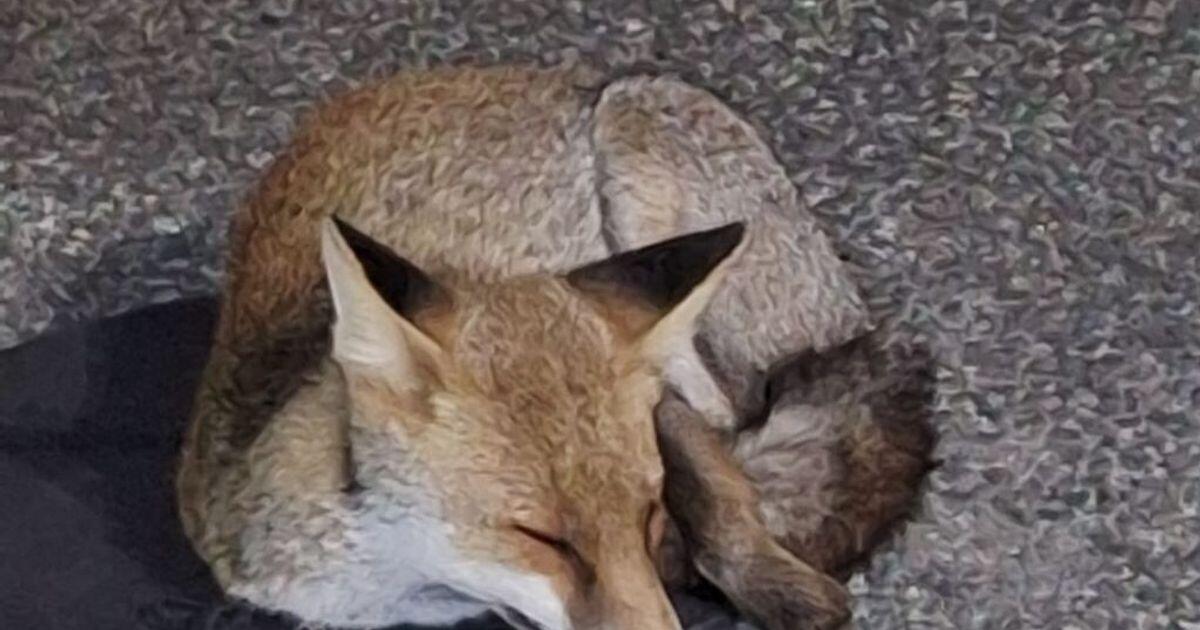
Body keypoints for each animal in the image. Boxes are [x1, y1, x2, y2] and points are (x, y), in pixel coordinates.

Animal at [177, 63, 932, 630]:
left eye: (647, 513)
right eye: (541, 538)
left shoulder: (650, 393)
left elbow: (720, 499)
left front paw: (772, 584)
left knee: (736, 421)